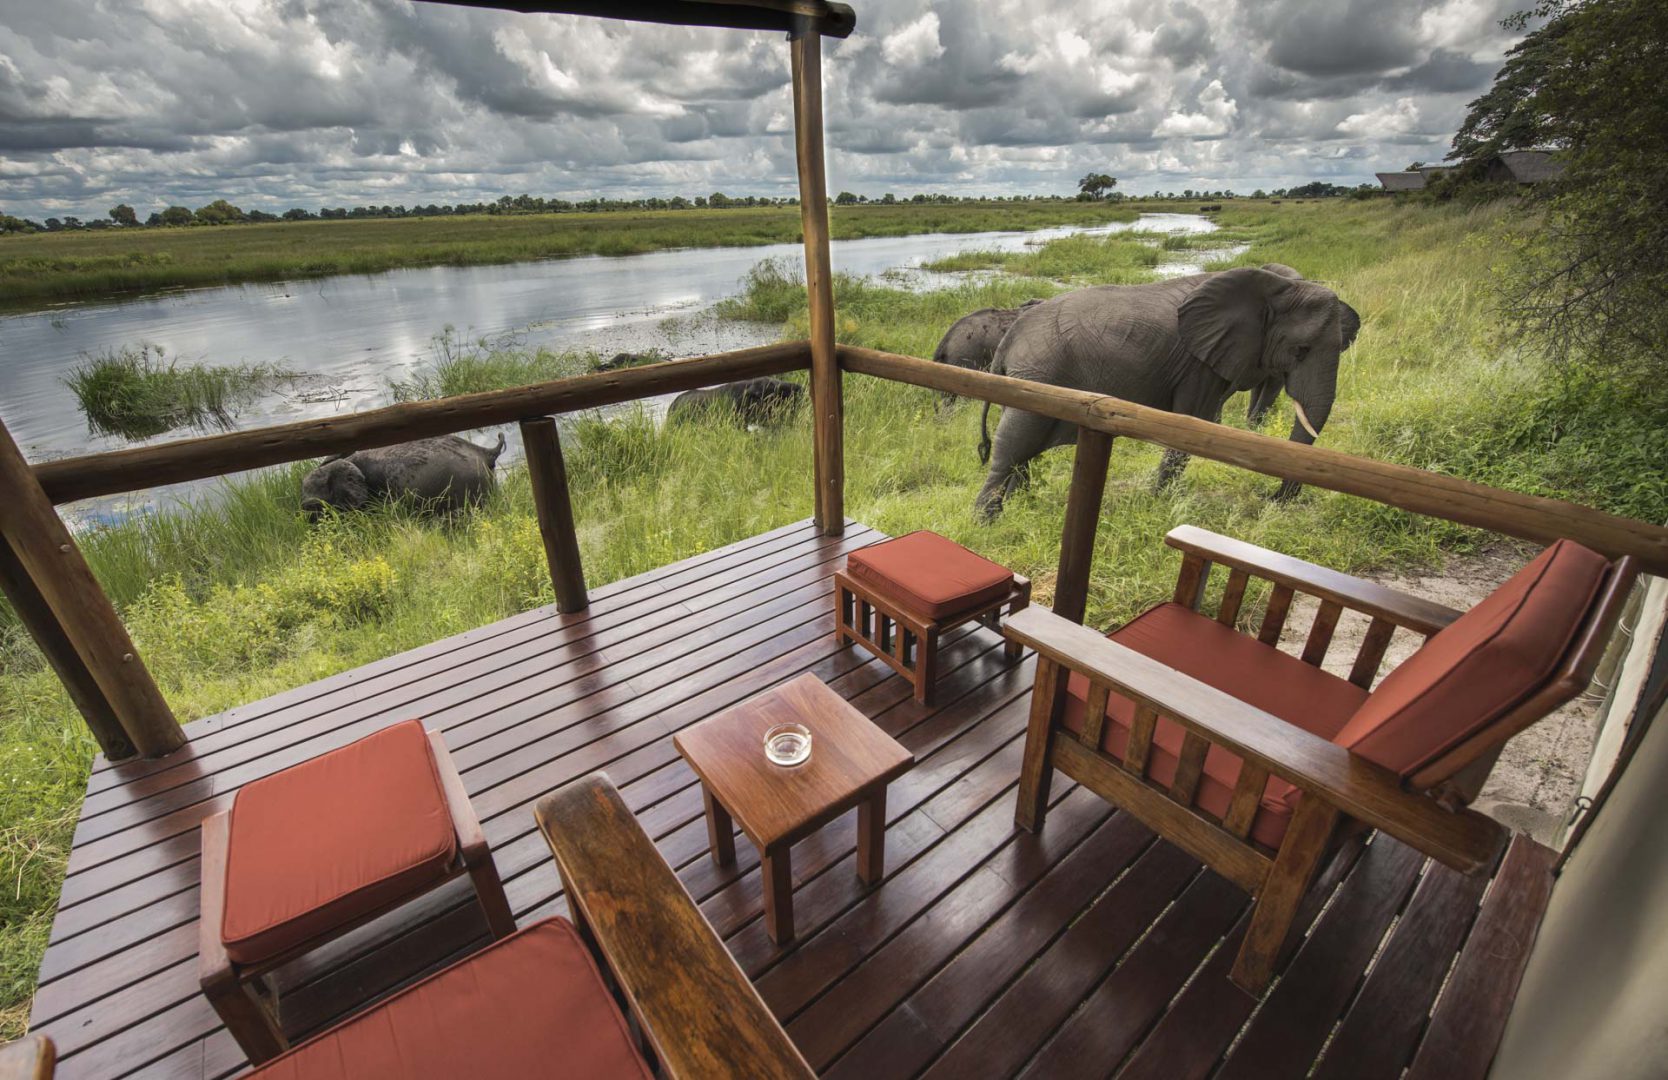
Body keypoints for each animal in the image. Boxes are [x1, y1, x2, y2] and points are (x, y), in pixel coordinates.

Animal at [974, 265, 1354, 520]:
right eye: (1301, 350)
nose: (1273, 500)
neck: (1274, 286)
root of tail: (1008, 340)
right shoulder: (1197, 364)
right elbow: (1190, 425)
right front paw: (1161, 502)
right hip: (1038, 373)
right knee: (1014, 443)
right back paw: (987, 521)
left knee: (1024, 447)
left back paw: (1022, 507)